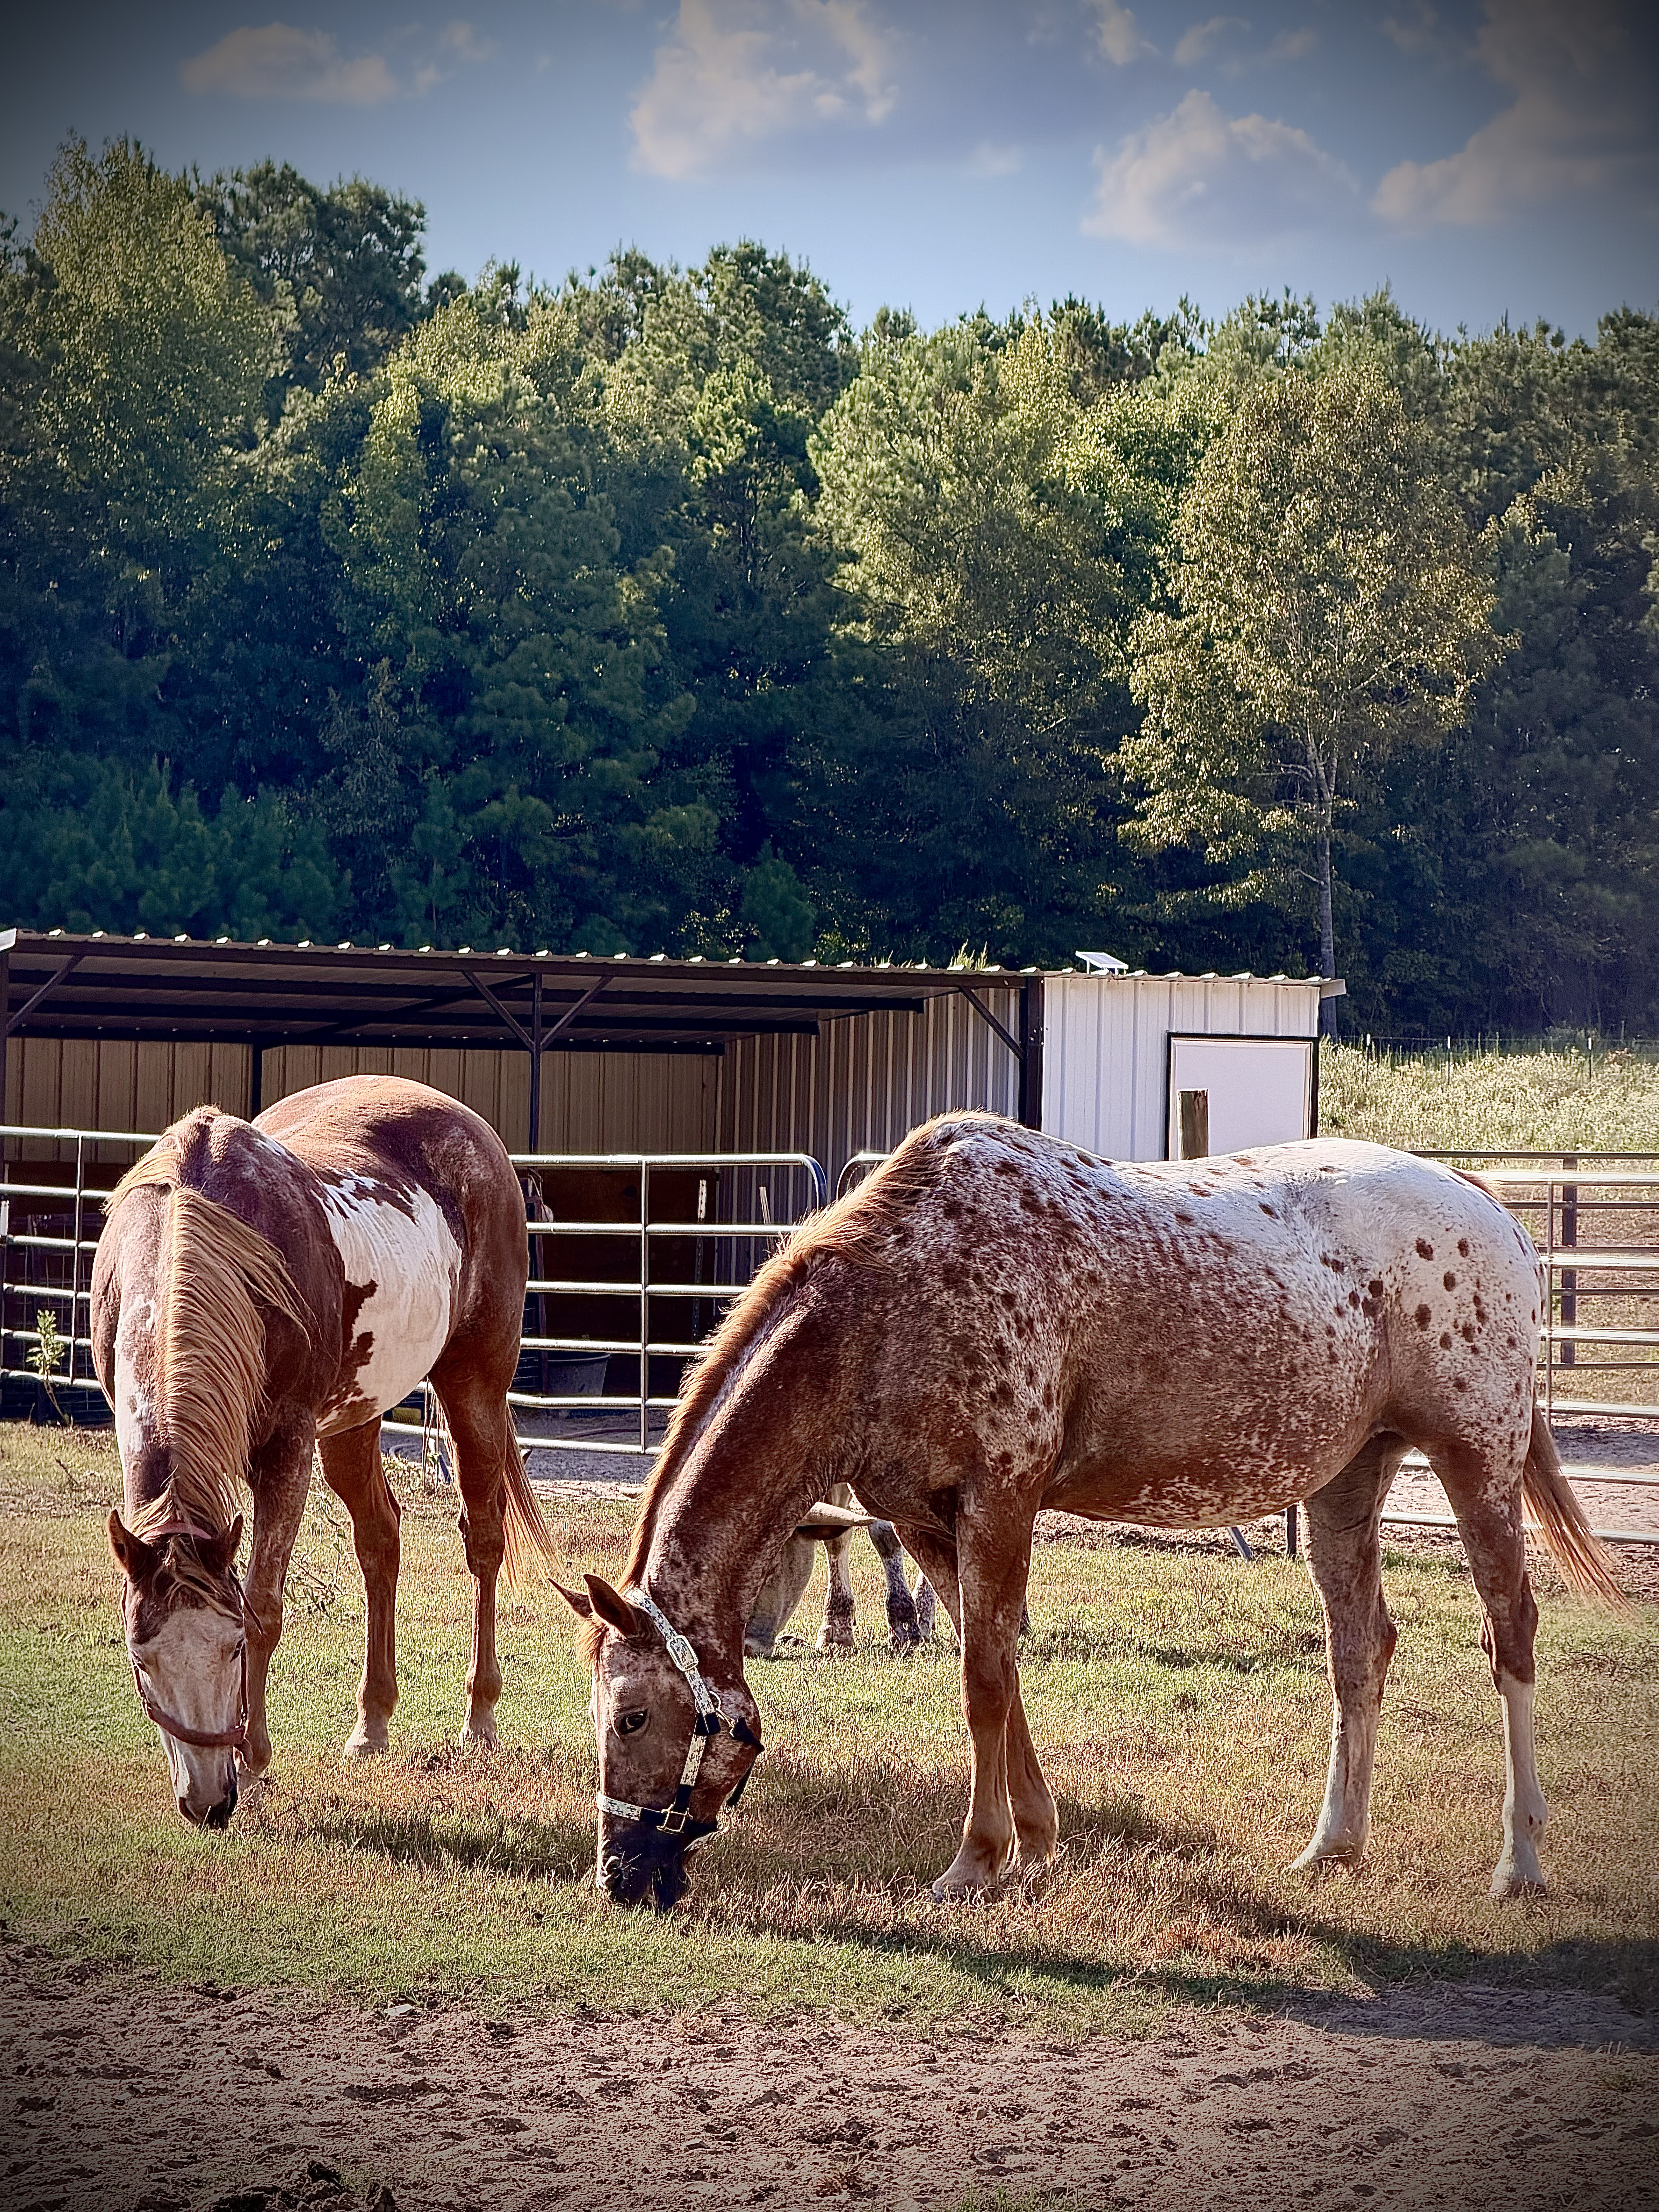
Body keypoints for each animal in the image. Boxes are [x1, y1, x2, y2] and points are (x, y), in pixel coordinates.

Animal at [92, 1075, 552, 1826]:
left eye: (232, 1649)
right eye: (141, 1658)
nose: (208, 1802)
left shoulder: (287, 1447)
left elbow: (265, 1603)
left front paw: (257, 1764)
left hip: (473, 1386)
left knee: (483, 1537)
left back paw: (479, 1718)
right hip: (352, 1422)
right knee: (381, 1540)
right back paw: (371, 1724)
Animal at [559, 1112, 1622, 1910]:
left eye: (633, 1717)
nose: (621, 1878)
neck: (895, 1302)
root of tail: (1485, 1201)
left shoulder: (1001, 1499)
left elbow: (984, 1683)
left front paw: (976, 1862)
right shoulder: (928, 1521)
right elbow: (987, 1662)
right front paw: (1034, 1844)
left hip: (1477, 1464)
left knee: (1510, 1635)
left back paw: (1519, 1862)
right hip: (1347, 1485)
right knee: (1360, 1651)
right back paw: (1332, 1849)